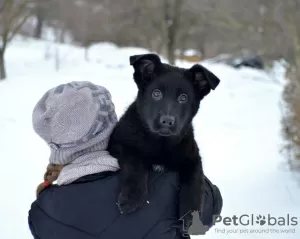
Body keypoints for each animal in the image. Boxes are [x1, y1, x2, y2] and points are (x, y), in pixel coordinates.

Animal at [108, 53, 220, 219]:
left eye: (183, 98)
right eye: (156, 94)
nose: (167, 121)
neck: (161, 143)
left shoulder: (192, 157)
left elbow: (194, 181)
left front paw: (190, 215)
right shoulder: (121, 143)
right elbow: (136, 163)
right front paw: (132, 197)